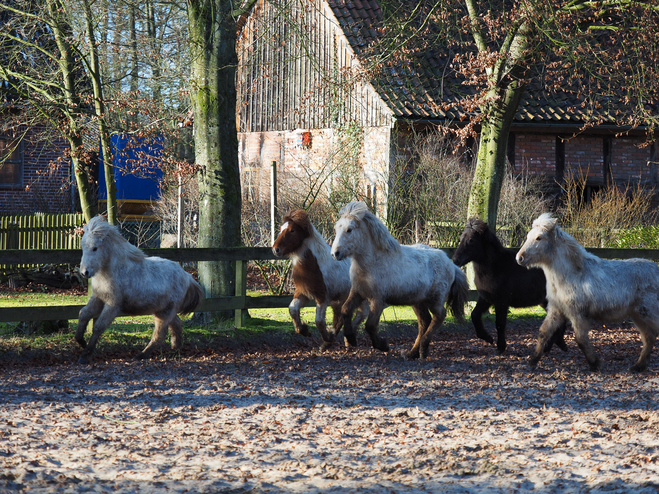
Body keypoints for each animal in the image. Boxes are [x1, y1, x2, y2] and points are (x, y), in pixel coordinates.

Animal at [75, 216, 204, 362]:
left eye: (95, 248)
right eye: (83, 247)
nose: (84, 272)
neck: (114, 270)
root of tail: (187, 276)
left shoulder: (113, 305)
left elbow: (98, 327)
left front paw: (85, 354)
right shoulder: (99, 298)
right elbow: (83, 313)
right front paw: (81, 341)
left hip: (165, 313)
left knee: (160, 334)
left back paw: (141, 355)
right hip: (163, 310)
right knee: (176, 324)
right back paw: (174, 351)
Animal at [270, 208, 368, 348]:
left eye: (292, 230)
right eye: (281, 228)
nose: (275, 249)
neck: (316, 264)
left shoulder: (322, 297)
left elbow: (319, 321)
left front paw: (325, 336)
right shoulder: (302, 292)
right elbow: (292, 309)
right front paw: (304, 330)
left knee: (361, 313)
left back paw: (344, 339)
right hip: (341, 299)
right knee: (342, 316)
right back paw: (333, 341)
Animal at [330, 201, 470, 358]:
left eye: (349, 230)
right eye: (336, 228)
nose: (335, 253)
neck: (372, 263)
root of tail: (452, 265)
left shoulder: (378, 299)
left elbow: (370, 325)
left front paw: (383, 346)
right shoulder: (358, 292)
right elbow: (345, 310)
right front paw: (351, 339)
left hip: (435, 300)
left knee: (439, 317)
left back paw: (423, 349)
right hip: (418, 302)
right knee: (424, 322)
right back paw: (412, 353)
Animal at [454, 218, 568, 354]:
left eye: (471, 240)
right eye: (461, 238)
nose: (455, 260)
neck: (496, 266)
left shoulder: (501, 301)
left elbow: (500, 323)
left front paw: (500, 347)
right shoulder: (486, 298)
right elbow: (474, 315)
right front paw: (488, 338)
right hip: (546, 302)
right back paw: (555, 345)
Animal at [520, 212, 659, 370]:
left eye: (539, 237)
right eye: (528, 236)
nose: (520, 257)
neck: (571, 274)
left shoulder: (577, 314)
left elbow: (581, 339)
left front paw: (595, 363)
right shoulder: (556, 311)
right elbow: (543, 333)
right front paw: (532, 361)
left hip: (648, 313)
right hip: (638, 315)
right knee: (649, 338)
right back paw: (638, 366)